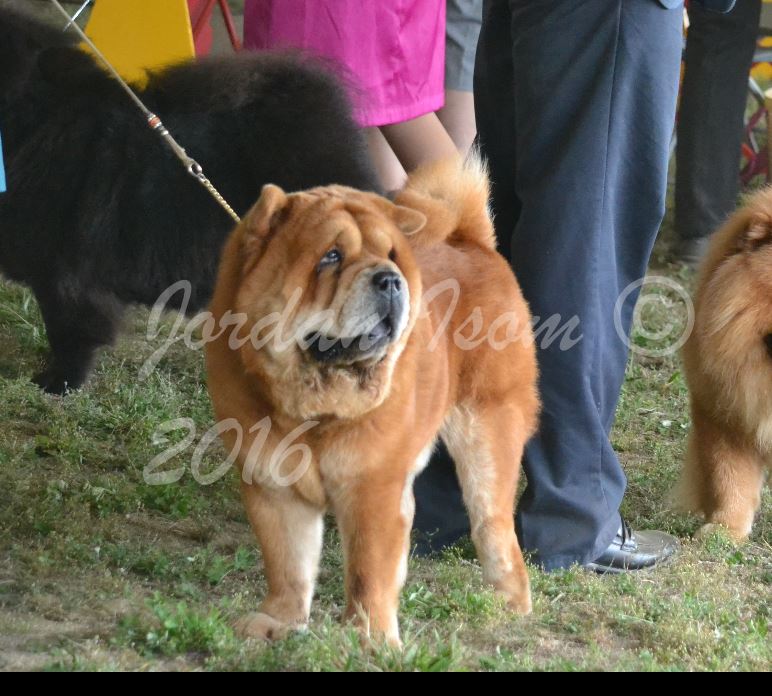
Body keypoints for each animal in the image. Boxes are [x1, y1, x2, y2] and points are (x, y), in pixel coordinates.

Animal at [207, 155, 544, 644]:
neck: (315, 406)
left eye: (390, 255)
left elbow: (368, 571)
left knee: (494, 526)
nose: (389, 280)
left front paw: (371, 640)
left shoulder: (372, 488)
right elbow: (288, 565)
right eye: (330, 256)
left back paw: (509, 603)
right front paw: (279, 622)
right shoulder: (272, 484)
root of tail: (471, 239)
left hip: (487, 433)